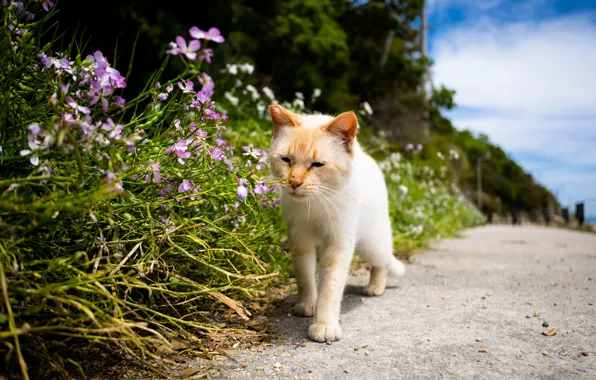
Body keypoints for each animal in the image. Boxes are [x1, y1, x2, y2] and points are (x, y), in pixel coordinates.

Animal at [268, 104, 406, 344]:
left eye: (317, 164)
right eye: (286, 159)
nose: (294, 182)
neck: (314, 204)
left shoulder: (338, 244)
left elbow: (330, 288)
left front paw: (324, 326)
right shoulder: (300, 241)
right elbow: (305, 278)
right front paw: (307, 304)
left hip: (371, 244)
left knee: (383, 262)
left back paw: (375, 287)